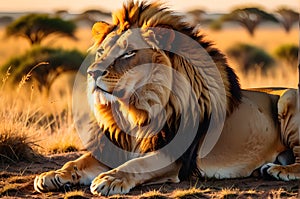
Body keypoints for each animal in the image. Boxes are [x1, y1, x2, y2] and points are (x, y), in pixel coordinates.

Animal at [33, 0, 300, 196]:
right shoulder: (116, 145)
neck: (135, 110)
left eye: (129, 53)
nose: (92, 72)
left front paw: (110, 178)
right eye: (101, 52)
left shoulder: (173, 156)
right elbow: (77, 161)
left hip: (288, 98)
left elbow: (137, 164)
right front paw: (53, 175)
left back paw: (277, 170)